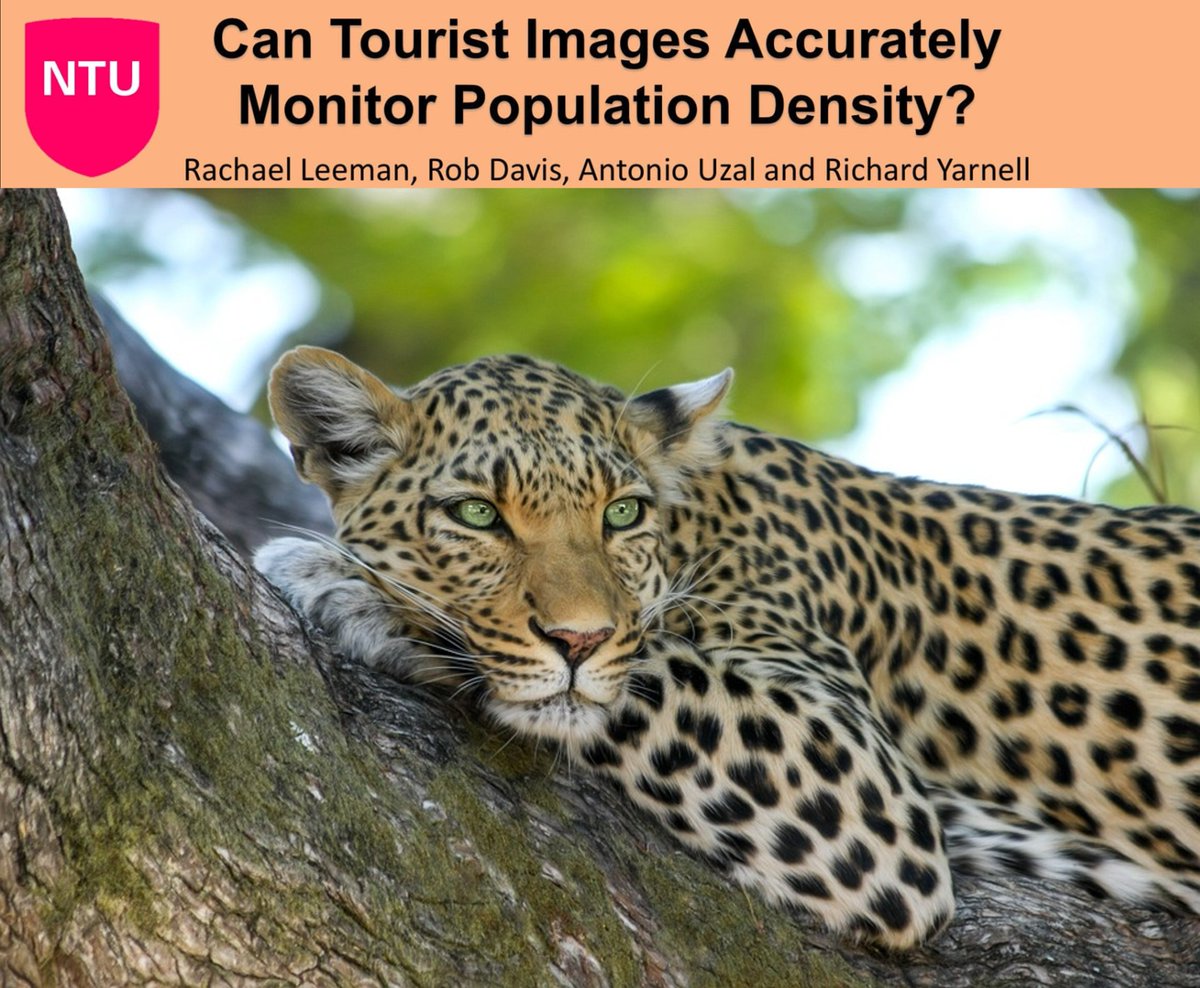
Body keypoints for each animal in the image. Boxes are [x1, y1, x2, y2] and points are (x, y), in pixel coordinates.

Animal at [255, 345, 1200, 949]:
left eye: (621, 513)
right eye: (477, 514)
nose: (578, 637)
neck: (699, 523)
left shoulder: (862, 784)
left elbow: (646, 672)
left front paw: (348, 584)